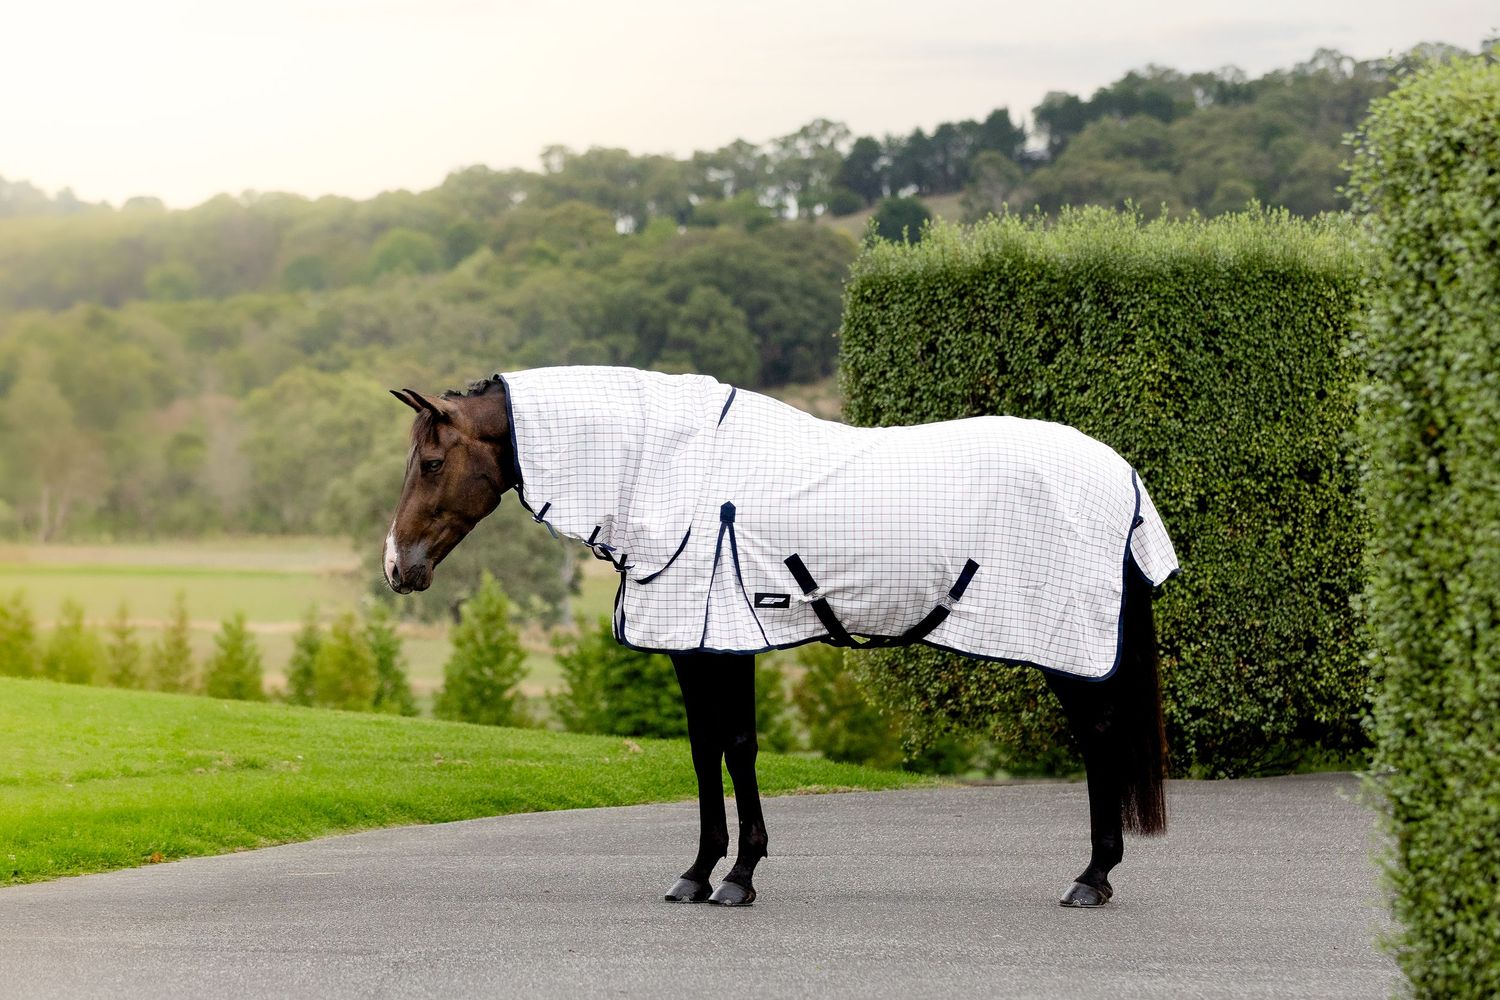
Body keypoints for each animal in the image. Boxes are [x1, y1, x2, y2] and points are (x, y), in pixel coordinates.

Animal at [383, 366, 1174, 908]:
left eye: (432, 463)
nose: (397, 566)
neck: (674, 473)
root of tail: (1122, 475)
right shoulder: (699, 648)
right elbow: (706, 750)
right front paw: (698, 875)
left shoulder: (719, 642)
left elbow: (733, 747)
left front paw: (736, 876)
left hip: (1071, 643)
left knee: (1100, 737)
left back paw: (1092, 877)